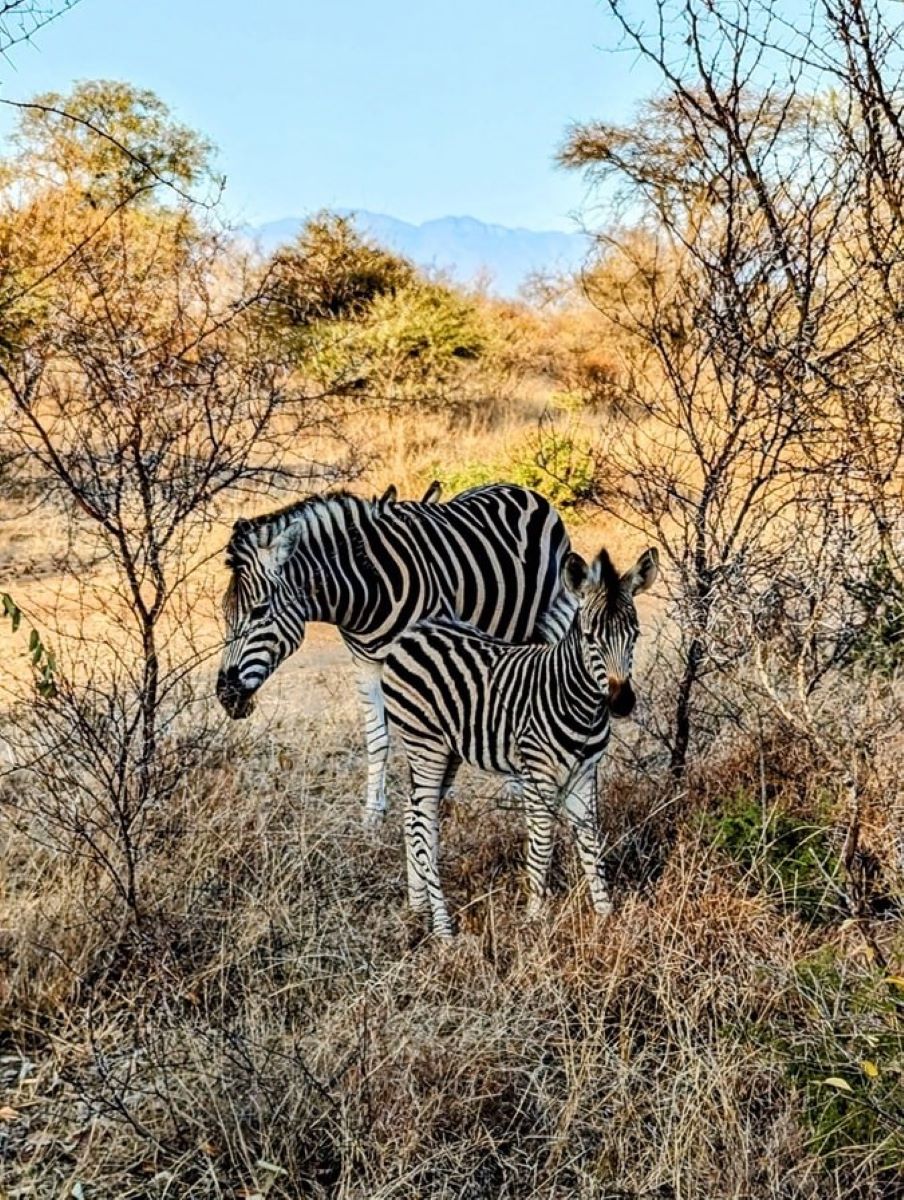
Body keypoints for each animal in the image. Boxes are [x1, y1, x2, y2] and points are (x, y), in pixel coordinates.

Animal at [214, 480, 573, 825]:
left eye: (260, 611)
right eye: (224, 613)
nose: (226, 696)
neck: (367, 592)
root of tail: (516, 487)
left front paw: (433, 801)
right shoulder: (366, 663)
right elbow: (377, 739)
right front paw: (373, 814)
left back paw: (514, 788)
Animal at [379, 544, 657, 936]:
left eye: (635, 635)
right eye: (590, 638)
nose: (621, 703)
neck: (578, 701)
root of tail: (416, 629)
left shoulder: (585, 772)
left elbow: (591, 841)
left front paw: (606, 914)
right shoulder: (535, 772)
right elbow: (542, 844)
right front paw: (535, 919)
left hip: (448, 751)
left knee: (412, 813)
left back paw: (417, 906)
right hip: (424, 744)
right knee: (422, 823)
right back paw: (444, 927)